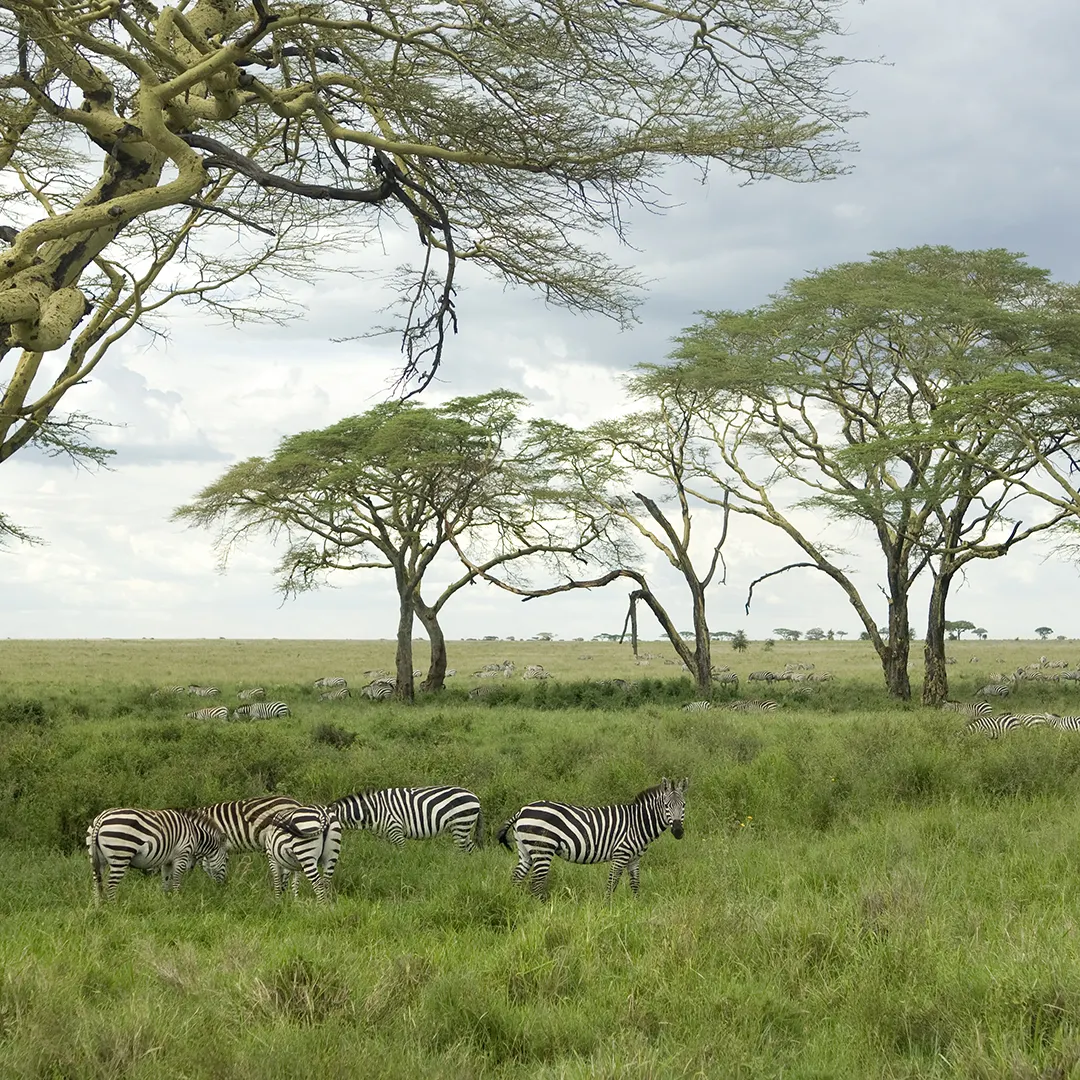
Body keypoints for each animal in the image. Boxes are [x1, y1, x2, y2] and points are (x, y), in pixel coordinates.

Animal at [86, 807, 228, 902]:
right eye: (226, 860)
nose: (223, 886)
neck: (195, 834)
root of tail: (101, 817)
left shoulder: (167, 861)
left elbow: (166, 880)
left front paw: (166, 900)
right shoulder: (181, 855)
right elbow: (176, 880)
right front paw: (178, 900)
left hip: (96, 859)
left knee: (96, 884)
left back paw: (98, 907)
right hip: (120, 856)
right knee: (111, 885)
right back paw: (113, 907)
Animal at [331, 786, 483, 853]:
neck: (373, 810)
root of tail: (475, 797)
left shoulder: (395, 829)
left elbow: (402, 853)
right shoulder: (388, 836)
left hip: (461, 823)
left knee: (461, 850)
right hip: (463, 827)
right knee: (471, 849)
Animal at [498, 778, 689, 898]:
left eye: (684, 805)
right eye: (666, 806)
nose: (678, 831)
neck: (637, 823)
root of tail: (522, 810)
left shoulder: (634, 859)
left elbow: (635, 885)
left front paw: (636, 907)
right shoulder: (620, 854)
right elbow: (612, 884)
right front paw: (608, 907)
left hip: (525, 851)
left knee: (516, 878)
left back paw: (517, 903)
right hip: (542, 849)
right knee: (536, 884)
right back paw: (542, 909)